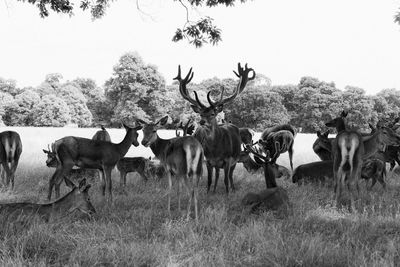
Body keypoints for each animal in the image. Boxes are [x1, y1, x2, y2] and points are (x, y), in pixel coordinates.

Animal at [176, 64, 256, 195]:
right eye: (201, 114)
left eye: (213, 113)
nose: (202, 122)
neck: (216, 150)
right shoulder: (209, 161)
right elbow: (209, 180)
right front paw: (208, 193)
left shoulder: (228, 160)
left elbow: (226, 180)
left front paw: (227, 195)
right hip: (217, 164)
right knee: (217, 174)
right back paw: (214, 190)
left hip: (235, 159)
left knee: (230, 176)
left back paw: (233, 189)